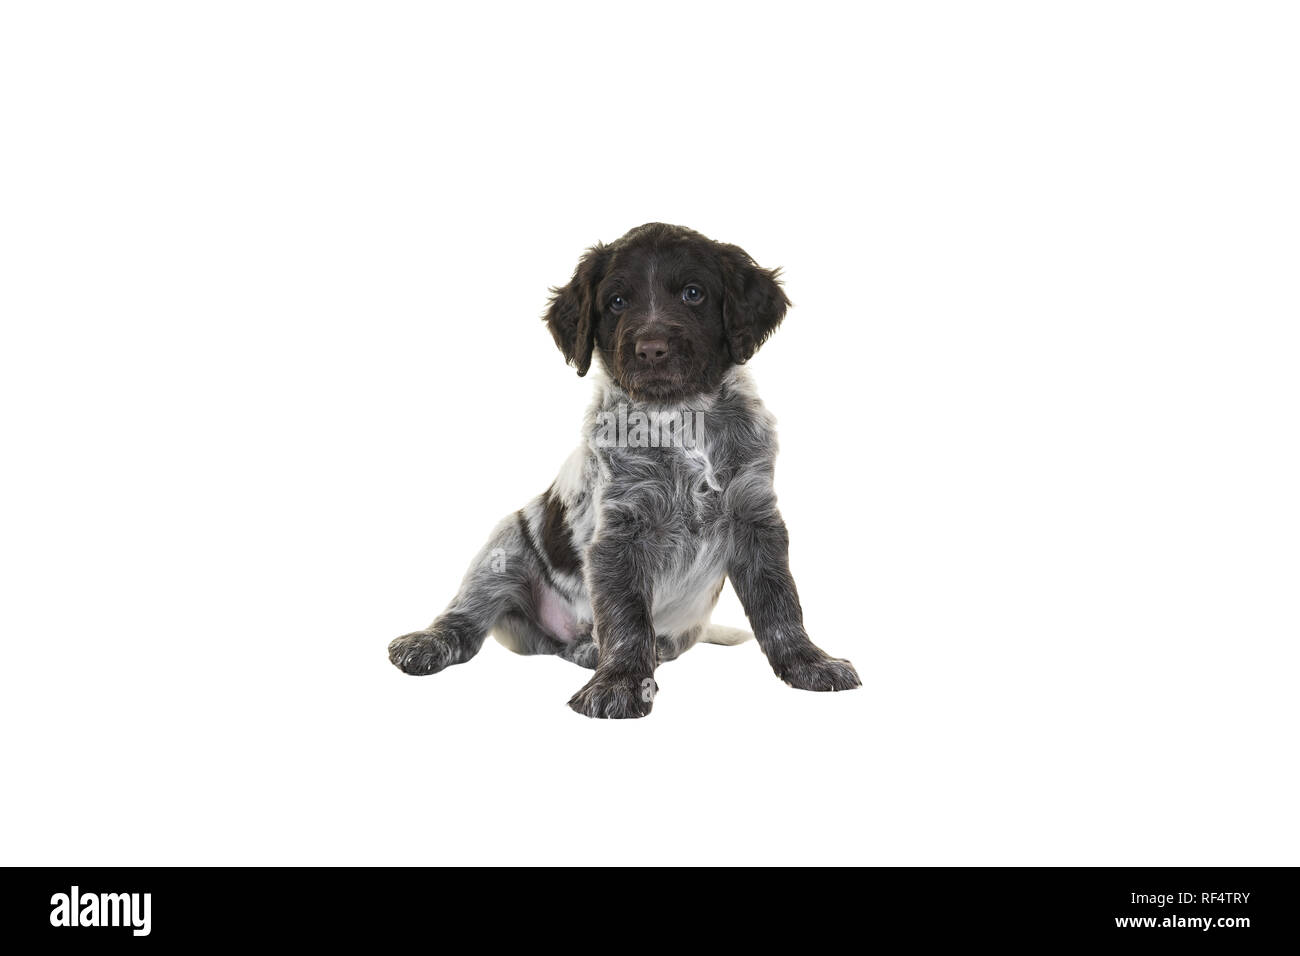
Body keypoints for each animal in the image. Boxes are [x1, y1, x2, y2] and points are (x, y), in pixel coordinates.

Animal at [387, 223, 863, 717]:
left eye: (693, 293)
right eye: (616, 302)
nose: (651, 350)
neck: (680, 417)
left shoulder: (755, 517)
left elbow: (780, 603)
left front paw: (808, 662)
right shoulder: (619, 532)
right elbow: (627, 617)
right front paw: (619, 683)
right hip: (504, 546)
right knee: (467, 617)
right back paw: (429, 642)